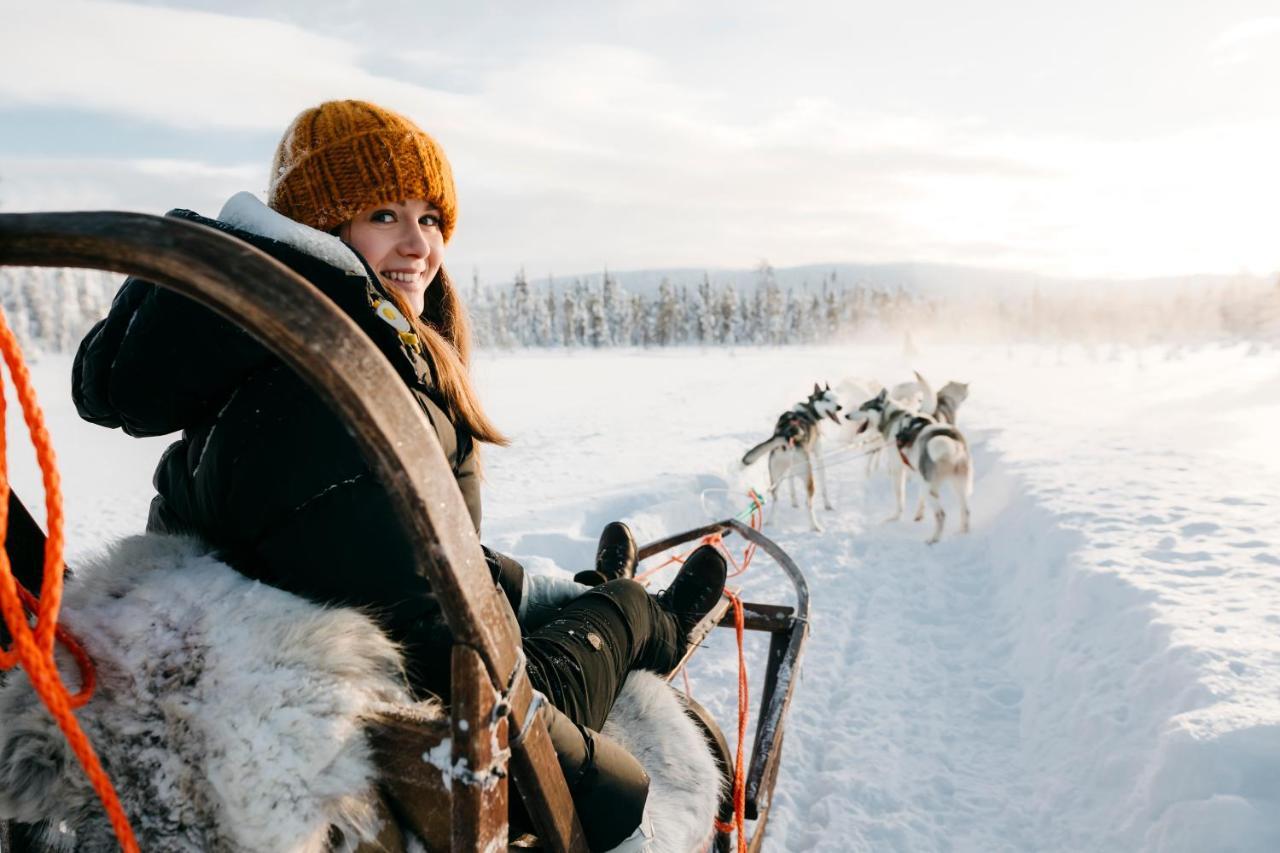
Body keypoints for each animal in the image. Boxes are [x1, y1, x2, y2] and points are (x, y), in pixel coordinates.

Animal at [747, 381, 844, 527]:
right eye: (827, 399)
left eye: (836, 398)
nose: (839, 407)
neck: (809, 410)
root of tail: (787, 436)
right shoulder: (819, 455)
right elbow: (824, 486)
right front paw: (828, 505)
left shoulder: (790, 469)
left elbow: (791, 484)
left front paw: (794, 502)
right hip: (808, 477)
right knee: (808, 503)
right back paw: (815, 527)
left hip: (777, 476)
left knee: (775, 498)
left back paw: (770, 521)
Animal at [896, 409, 972, 540]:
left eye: (903, 426)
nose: (907, 413)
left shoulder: (922, 481)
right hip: (960, 484)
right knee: (965, 510)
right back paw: (962, 534)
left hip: (931, 490)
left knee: (941, 515)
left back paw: (933, 540)